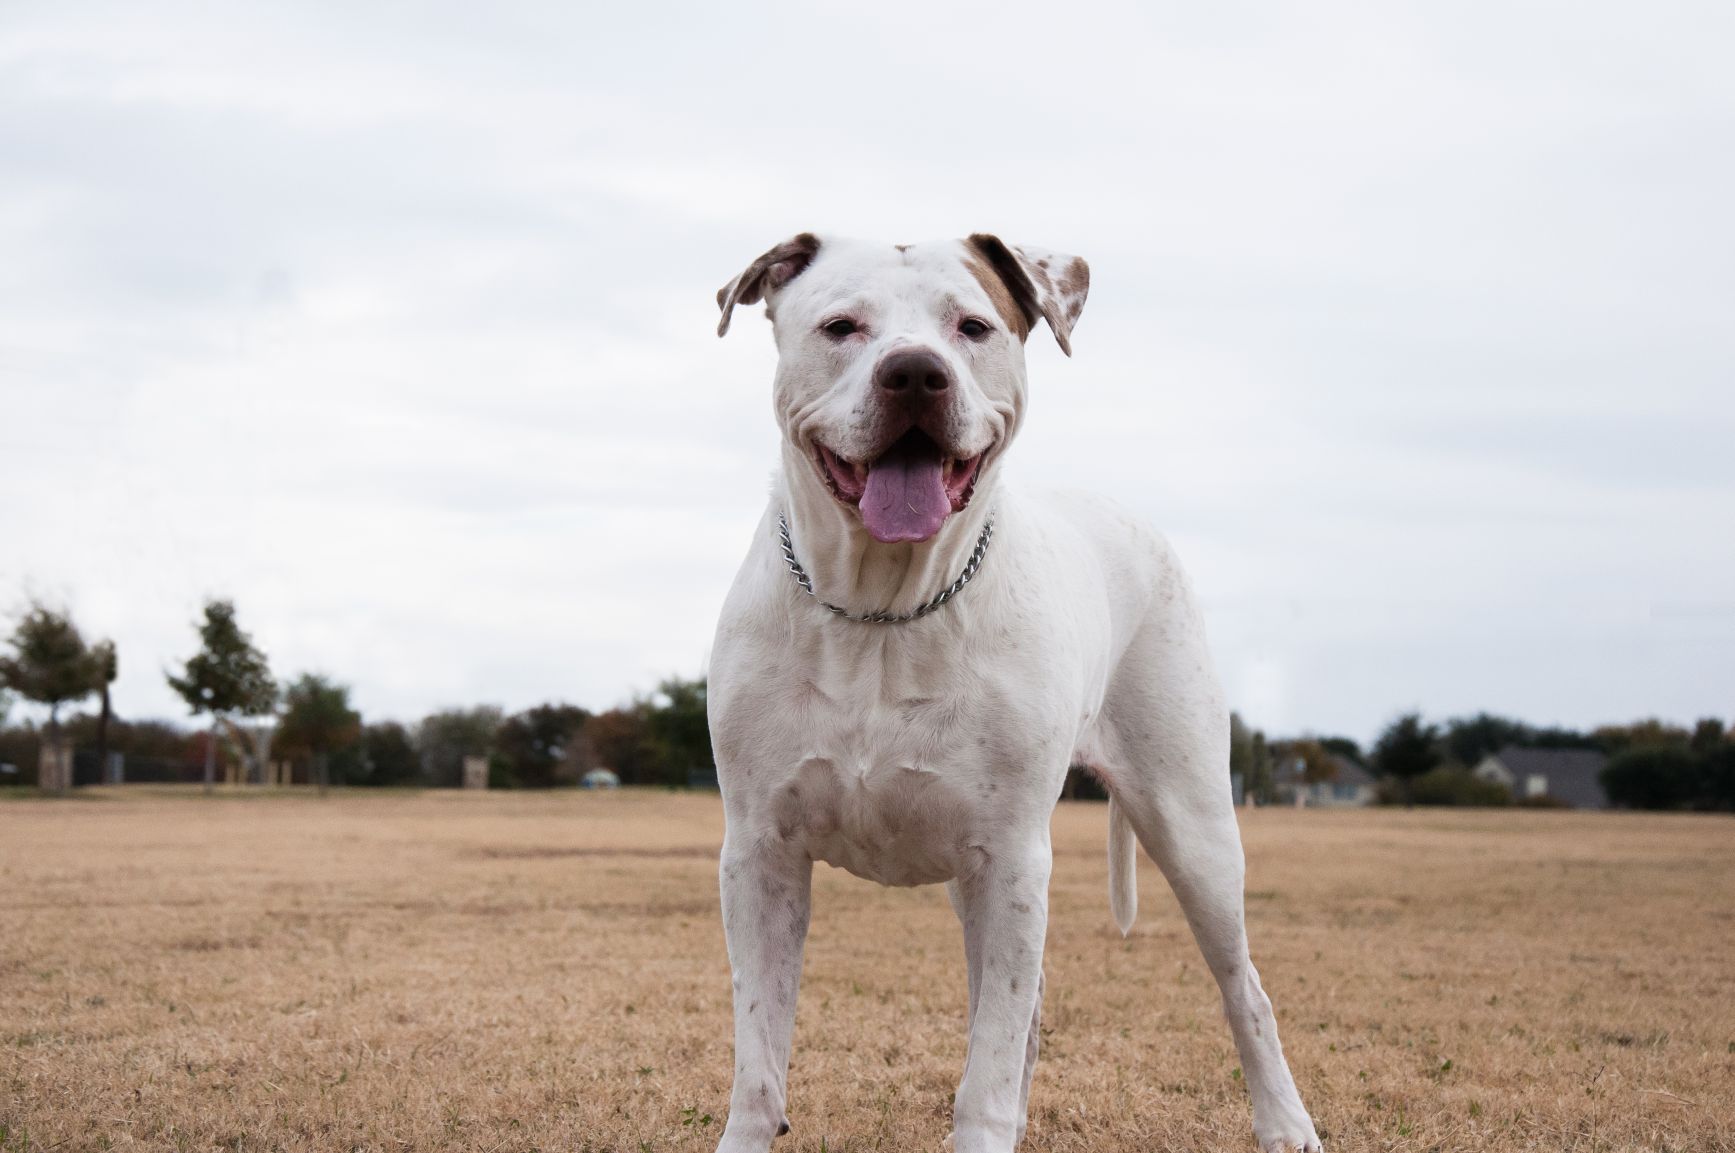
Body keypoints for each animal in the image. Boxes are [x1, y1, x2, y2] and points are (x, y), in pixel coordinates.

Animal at [700, 234, 1311, 1151]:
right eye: (841, 326)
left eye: (972, 326)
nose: (915, 372)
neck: (884, 609)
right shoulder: (760, 854)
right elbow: (759, 1052)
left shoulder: (1014, 857)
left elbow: (984, 1067)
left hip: (1191, 825)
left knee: (1244, 989)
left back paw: (1284, 1121)